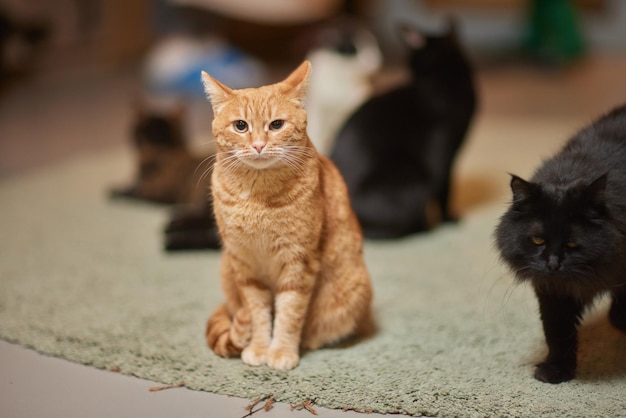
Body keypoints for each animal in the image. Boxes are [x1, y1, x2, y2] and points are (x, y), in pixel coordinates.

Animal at [202, 61, 372, 370]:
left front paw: (281, 351)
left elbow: (289, 313)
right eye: (241, 126)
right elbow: (257, 312)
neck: (257, 198)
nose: (258, 145)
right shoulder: (244, 264)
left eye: (276, 125)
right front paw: (259, 347)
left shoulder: (299, 261)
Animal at [330, 19, 476, 240]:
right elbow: (444, 189)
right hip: (414, 178)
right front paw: (448, 219)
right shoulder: (446, 155)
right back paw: (423, 228)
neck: (442, 77)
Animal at [492, 103, 624, 384]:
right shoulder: (553, 291)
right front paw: (555, 371)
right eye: (538, 240)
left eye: (572, 244)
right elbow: (557, 332)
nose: (553, 264)